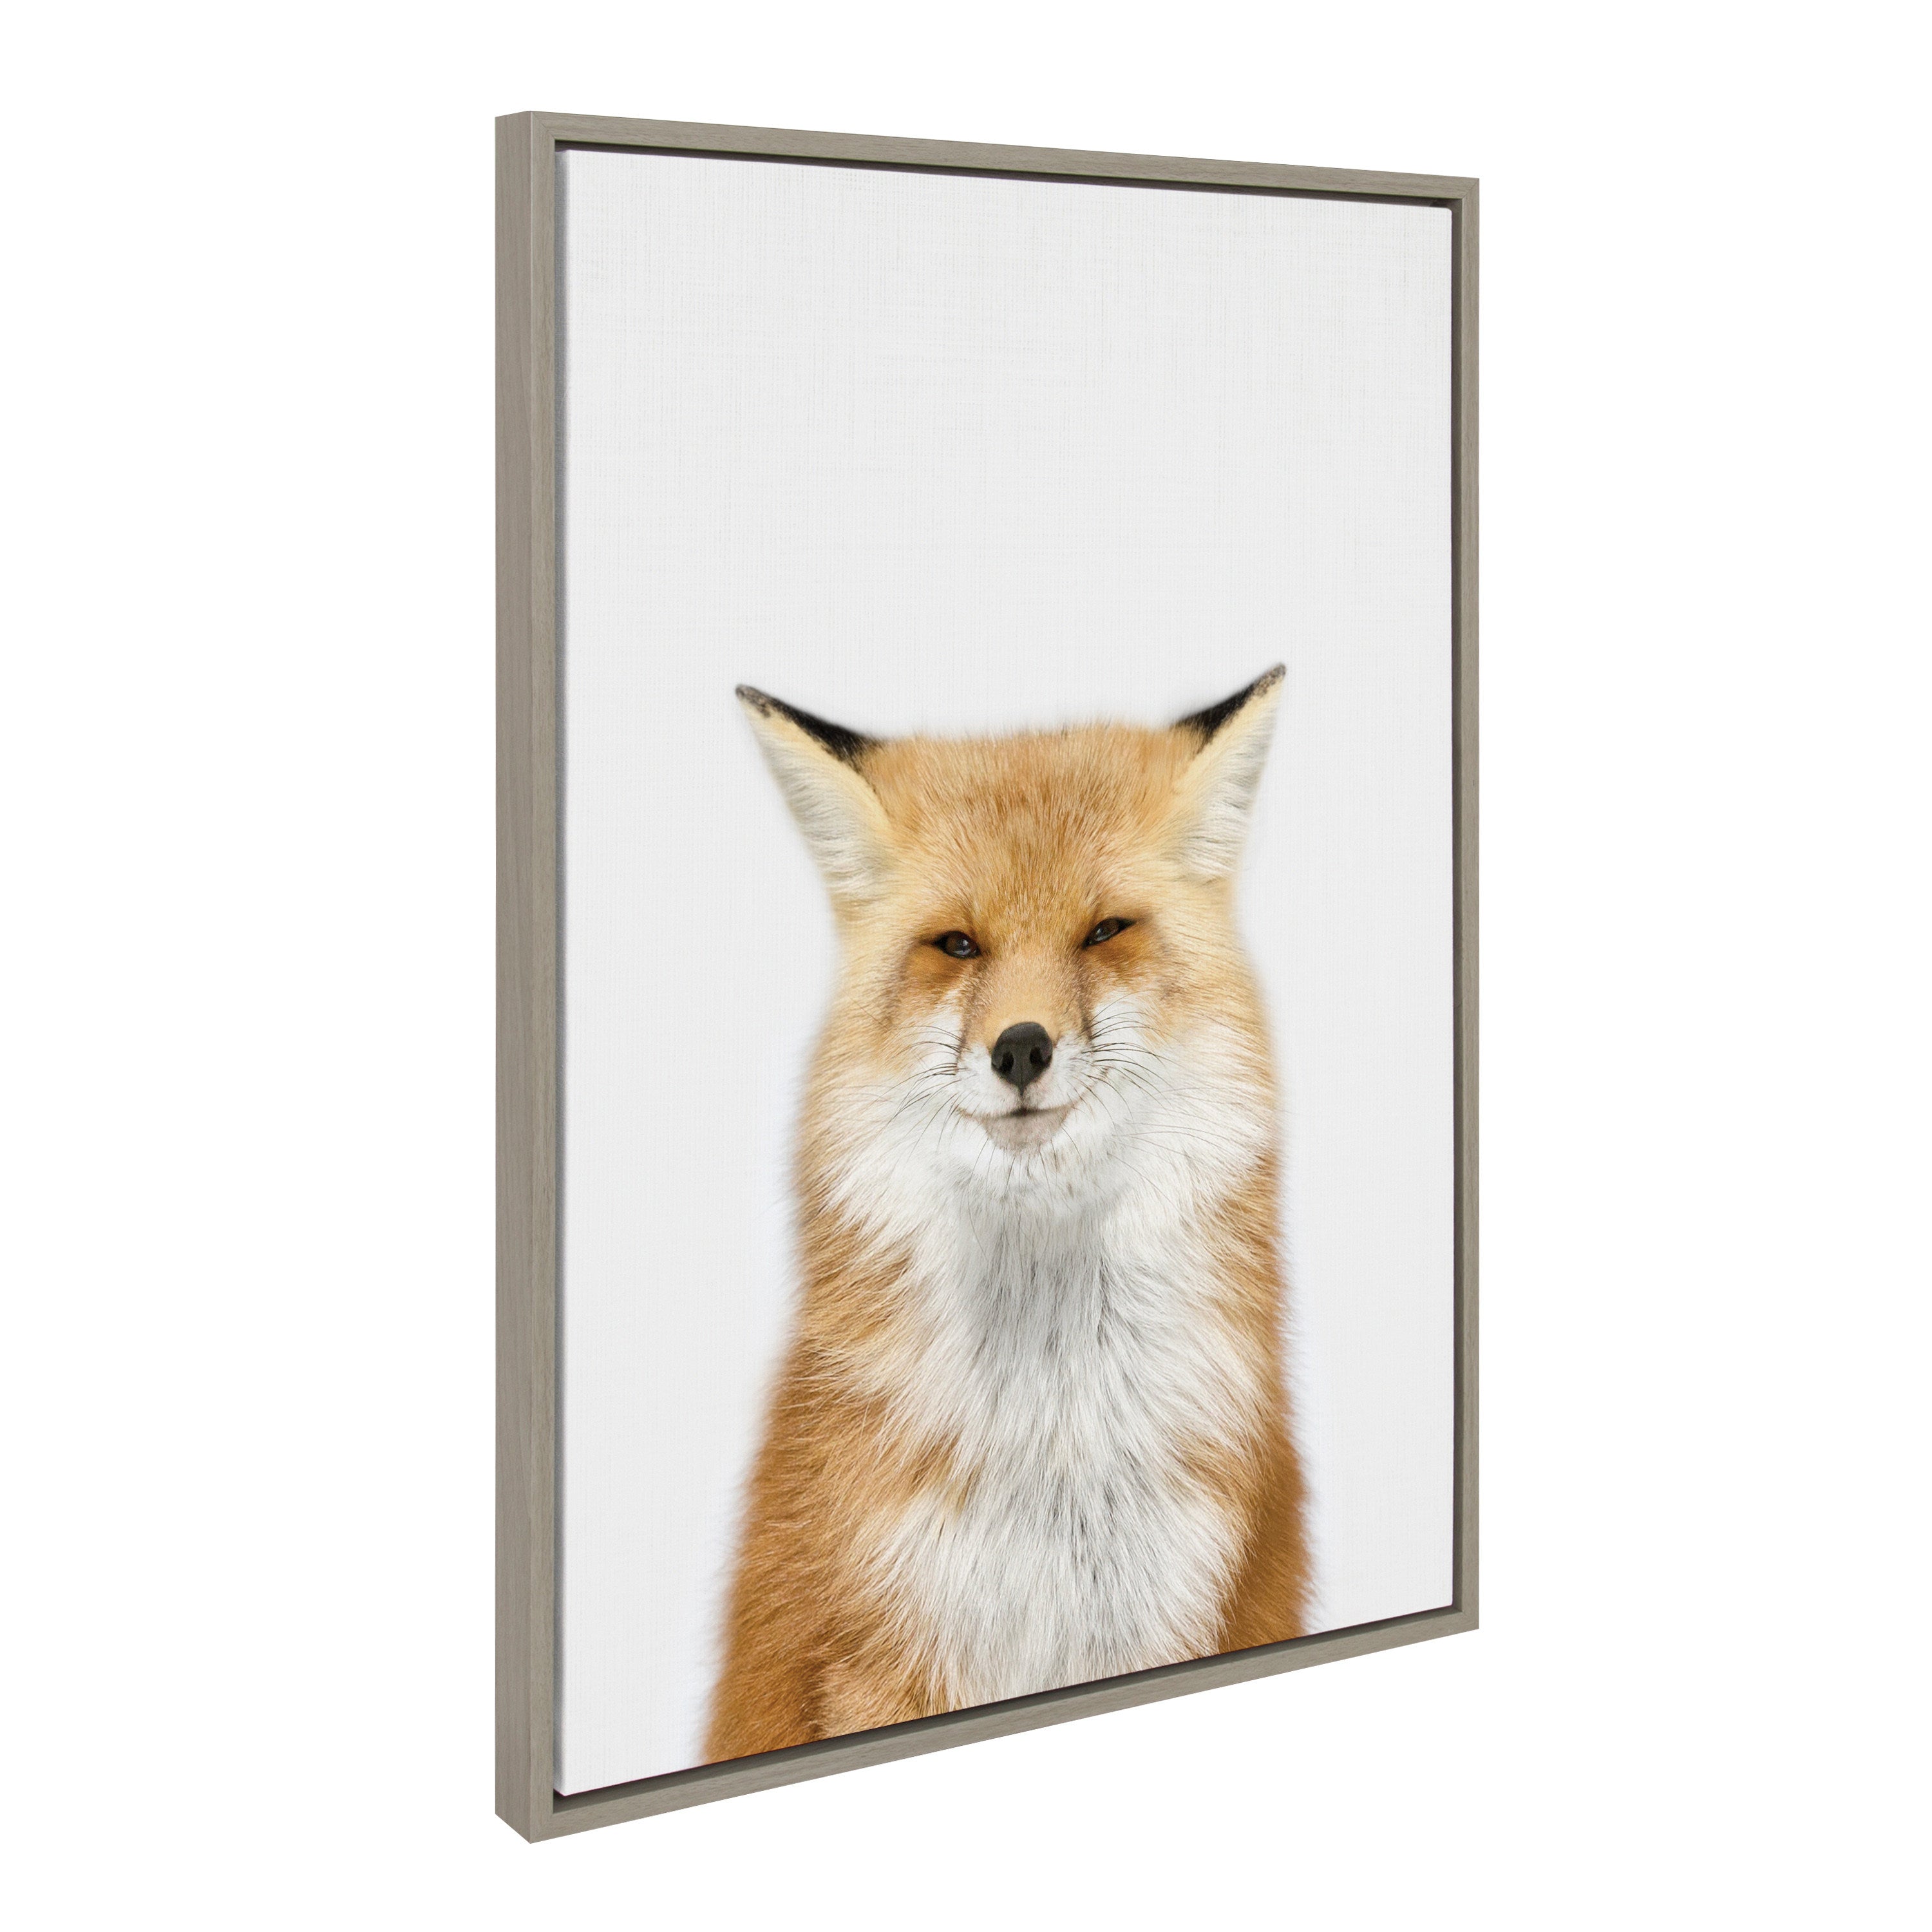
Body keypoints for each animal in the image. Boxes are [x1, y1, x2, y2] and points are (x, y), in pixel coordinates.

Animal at [705, 668, 1309, 1761]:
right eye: (957, 945)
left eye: (1105, 932)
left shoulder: (1182, 1610)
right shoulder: (884, 1648)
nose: (1021, 1047)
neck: (1052, 1450)